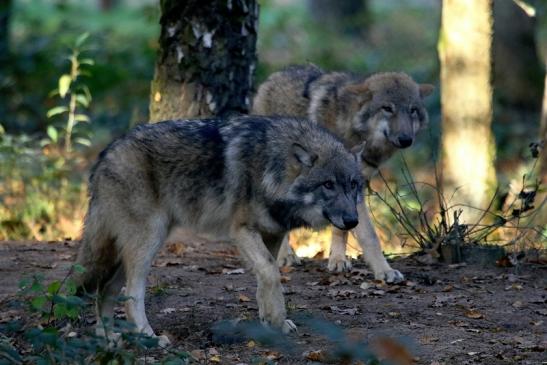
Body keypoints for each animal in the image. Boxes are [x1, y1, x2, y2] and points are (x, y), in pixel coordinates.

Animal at [73, 115, 364, 342]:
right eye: (328, 185)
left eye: (352, 184)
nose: (353, 221)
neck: (272, 166)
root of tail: (105, 155)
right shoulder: (242, 231)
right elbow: (271, 272)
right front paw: (276, 319)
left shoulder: (272, 234)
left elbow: (265, 279)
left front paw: (271, 322)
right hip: (148, 242)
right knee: (132, 294)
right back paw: (149, 337)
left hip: (128, 251)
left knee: (106, 290)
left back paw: (108, 337)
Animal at [254, 64, 436, 282]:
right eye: (387, 108)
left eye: (412, 110)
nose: (406, 139)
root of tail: (274, 76)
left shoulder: (355, 188)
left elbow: (356, 233)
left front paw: (375, 269)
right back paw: (285, 256)